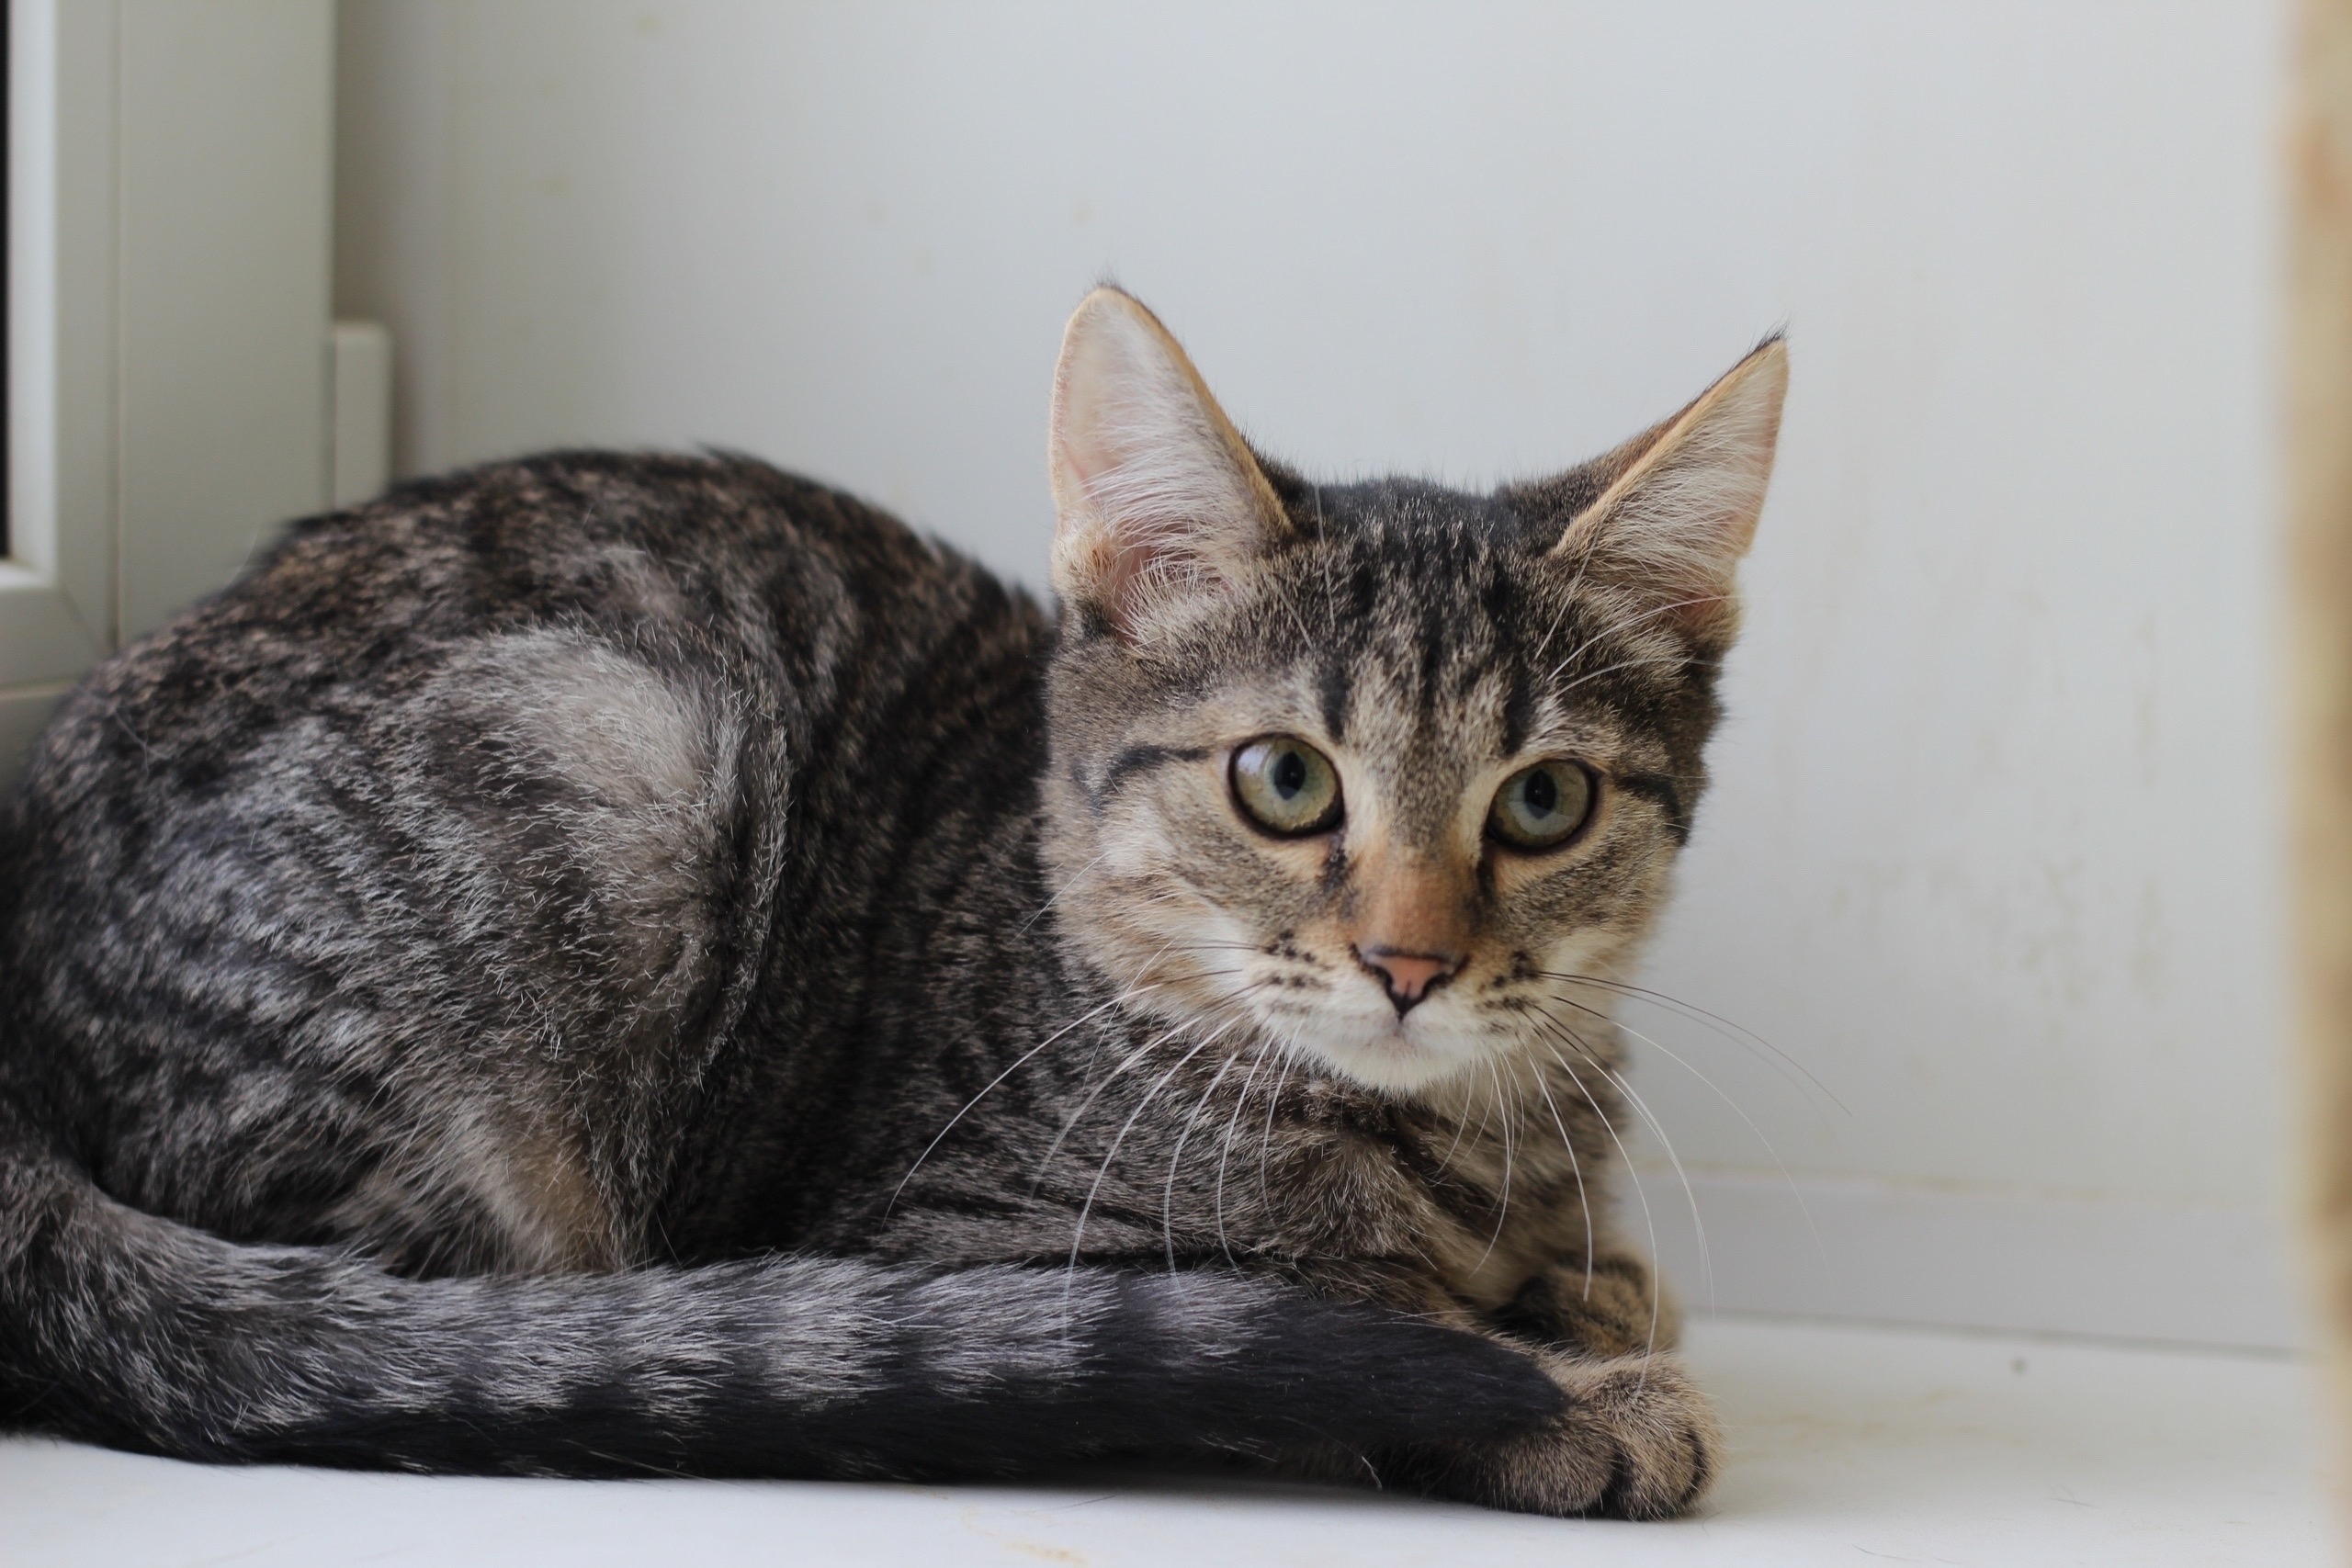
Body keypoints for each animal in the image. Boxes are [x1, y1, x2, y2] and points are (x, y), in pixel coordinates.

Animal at [0, 287, 1786, 1517]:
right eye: (1285, 780)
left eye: (1543, 802)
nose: (1410, 959)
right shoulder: (967, 1233)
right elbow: (1303, 1304)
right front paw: (1564, 1393)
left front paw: (1586, 1283)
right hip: (610, 751)